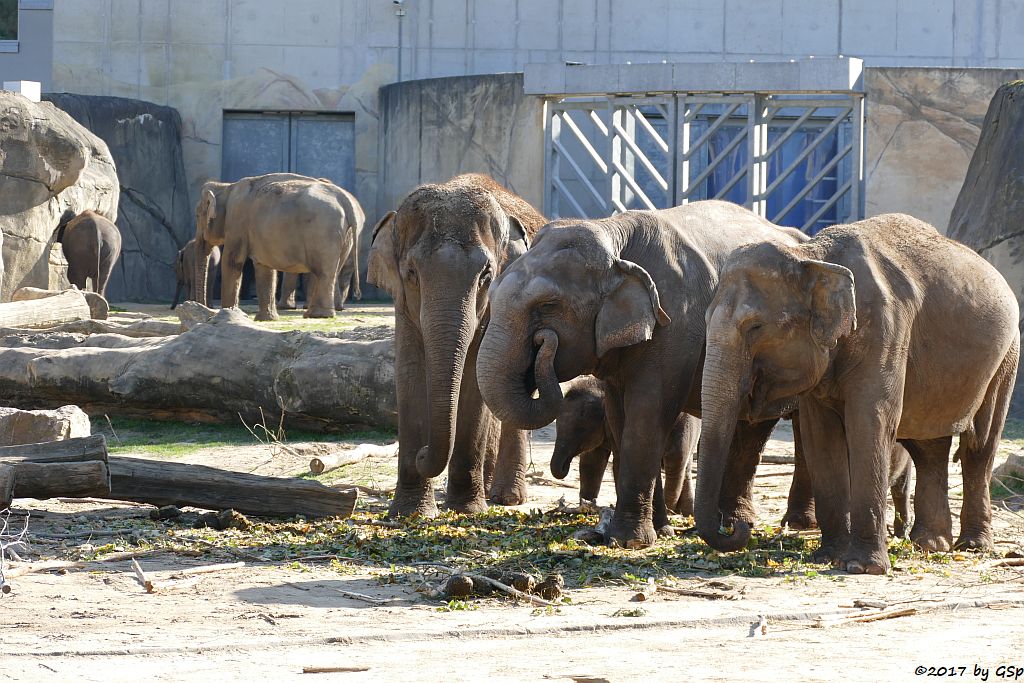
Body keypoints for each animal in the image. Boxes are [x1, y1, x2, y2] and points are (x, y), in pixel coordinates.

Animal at [193, 171, 362, 321]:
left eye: (197, 215)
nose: (205, 308)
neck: (227, 187)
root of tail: (345, 200)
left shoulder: (236, 221)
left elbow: (233, 262)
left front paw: (228, 314)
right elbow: (264, 267)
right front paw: (265, 319)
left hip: (323, 232)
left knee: (323, 272)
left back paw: (318, 315)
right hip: (342, 237)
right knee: (329, 272)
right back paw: (315, 314)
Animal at [366, 175, 544, 518]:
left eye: (486, 275)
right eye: (411, 273)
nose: (422, 454)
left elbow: (475, 377)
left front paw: (467, 510)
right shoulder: (402, 303)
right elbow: (409, 371)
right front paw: (410, 513)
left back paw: (506, 497)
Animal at [552, 376, 704, 516]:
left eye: (580, 429)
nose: (565, 465)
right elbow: (592, 461)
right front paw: (586, 505)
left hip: (684, 426)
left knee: (675, 462)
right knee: (684, 468)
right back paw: (683, 513)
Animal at [692, 211, 1019, 573]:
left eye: (755, 326)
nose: (737, 527)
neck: (810, 255)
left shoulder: (884, 328)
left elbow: (869, 422)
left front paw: (863, 567)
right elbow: (819, 434)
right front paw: (829, 556)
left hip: (1006, 357)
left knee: (979, 444)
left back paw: (972, 545)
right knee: (929, 446)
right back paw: (931, 544)